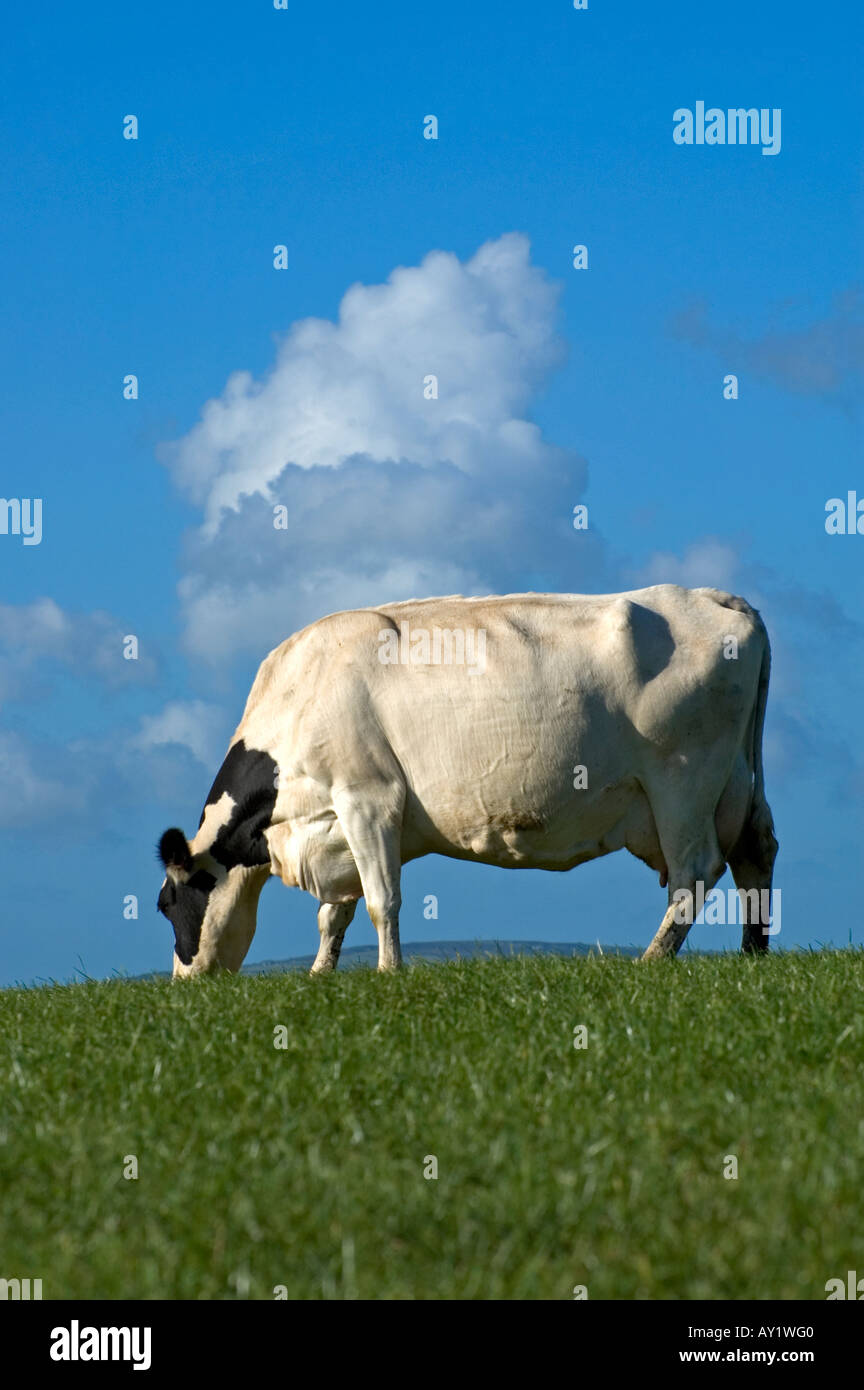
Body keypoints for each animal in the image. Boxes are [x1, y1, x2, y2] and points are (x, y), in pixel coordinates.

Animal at [157, 586, 778, 976]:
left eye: (167, 905)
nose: (183, 982)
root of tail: (716, 598)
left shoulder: (368, 798)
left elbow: (382, 899)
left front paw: (388, 973)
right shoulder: (334, 825)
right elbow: (334, 914)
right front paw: (319, 974)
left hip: (682, 782)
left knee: (695, 872)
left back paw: (652, 960)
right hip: (738, 781)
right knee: (756, 852)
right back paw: (753, 953)